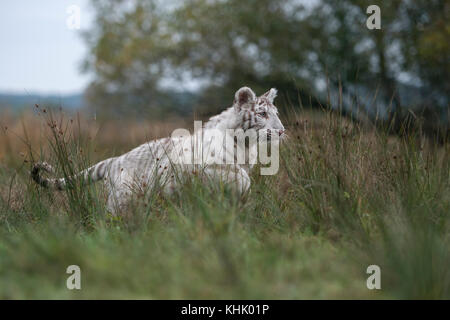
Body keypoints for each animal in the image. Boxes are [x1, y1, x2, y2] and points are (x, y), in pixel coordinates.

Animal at [30, 86, 284, 214]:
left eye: (276, 114)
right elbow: (239, 177)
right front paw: (242, 192)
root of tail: (114, 159)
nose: (281, 131)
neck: (246, 144)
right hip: (122, 198)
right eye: (262, 114)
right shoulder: (207, 168)